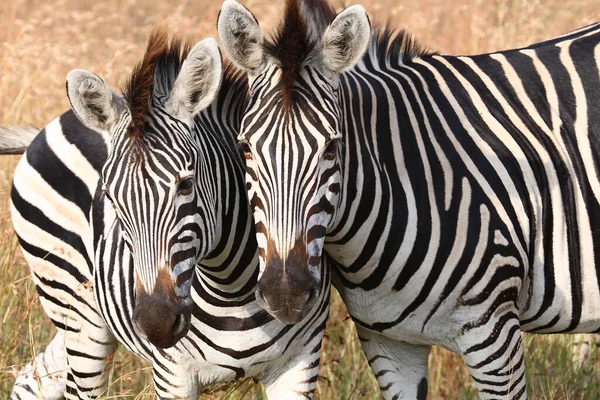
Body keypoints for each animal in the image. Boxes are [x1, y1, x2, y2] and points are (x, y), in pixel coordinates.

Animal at [5, 27, 328, 396]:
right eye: (110, 197)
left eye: (185, 185)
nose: (156, 323)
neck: (231, 289)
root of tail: (52, 124)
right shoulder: (172, 373)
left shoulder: (300, 361)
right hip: (76, 309)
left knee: (33, 378)